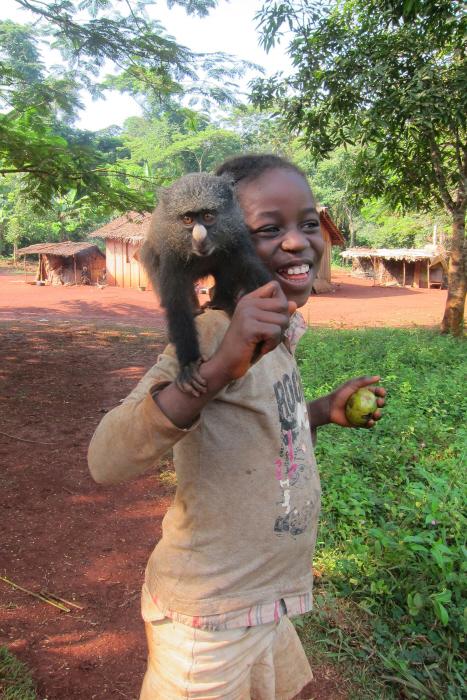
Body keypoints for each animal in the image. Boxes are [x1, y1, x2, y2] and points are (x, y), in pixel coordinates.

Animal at [141, 173, 272, 396]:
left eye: (208, 216)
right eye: (188, 219)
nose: (200, 237)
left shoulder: (236, 234)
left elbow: (247, 263)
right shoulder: (170, 253)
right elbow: (176, 302)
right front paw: (189, 365)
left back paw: (222, 301)